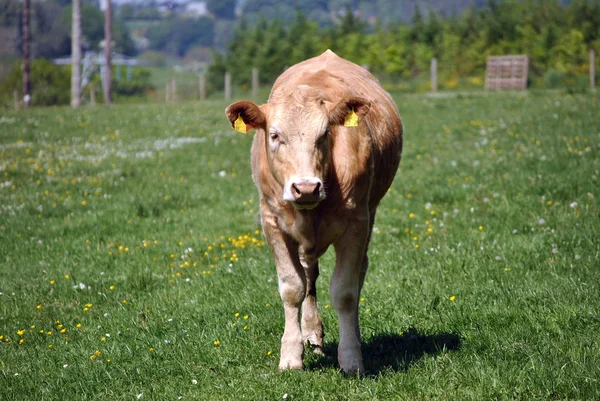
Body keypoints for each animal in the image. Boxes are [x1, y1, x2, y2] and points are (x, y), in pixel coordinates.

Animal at [225, 49, 404, 372]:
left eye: (323, 135)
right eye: (275, 135)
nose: (306, 187)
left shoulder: (357, 222)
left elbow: (345, 291)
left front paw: (351, 357)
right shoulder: (271, 222)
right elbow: (292, 287)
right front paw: (290, 355)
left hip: (371, 213)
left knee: (359, 271)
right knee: (309, 275)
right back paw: (312, 335)